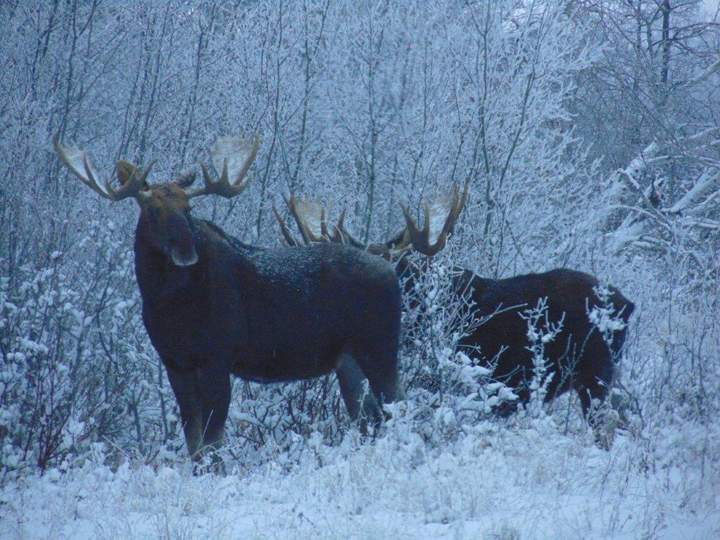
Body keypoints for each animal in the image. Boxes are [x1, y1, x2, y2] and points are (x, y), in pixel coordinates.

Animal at [53, 135, 402, 464]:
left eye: (188, 208)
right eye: (152, 211)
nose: (185, 251)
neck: (168, 304)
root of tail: (392, 271)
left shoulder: (216, 358)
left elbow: (212, 440)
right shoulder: (174, 362)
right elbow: (193, 441)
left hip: (380, 349)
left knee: (398, 407)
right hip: (349, 361)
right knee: (370, 417)